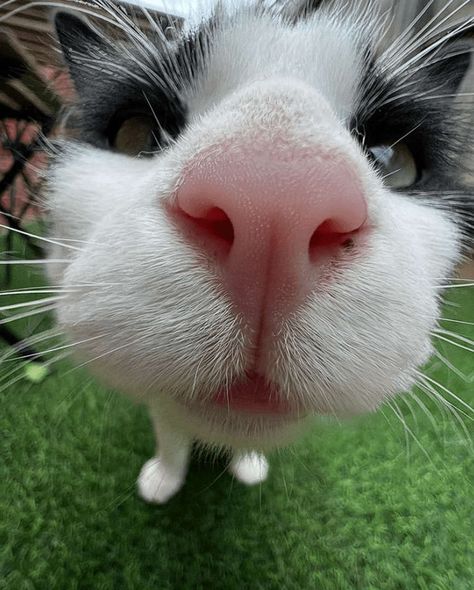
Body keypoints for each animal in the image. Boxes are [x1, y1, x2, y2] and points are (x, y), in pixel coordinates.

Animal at [38, 1, 474, 504]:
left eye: (393, 159)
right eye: (135, 134)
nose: (275, 204)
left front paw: (246, 466)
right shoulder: (163, 407)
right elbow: (170, 432)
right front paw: (164, 479)